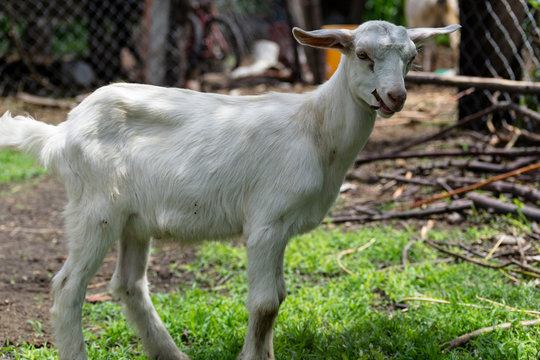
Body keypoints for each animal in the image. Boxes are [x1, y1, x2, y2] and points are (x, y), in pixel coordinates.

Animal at [0, 21, 460, 358]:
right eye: (362, 55)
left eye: (412, 58)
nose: (395, 97)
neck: (316, 129)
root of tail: (61, 132)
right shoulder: (266, 224)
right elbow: (265, 303)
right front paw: (253, 357)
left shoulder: (282, 229)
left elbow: (279, 296)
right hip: (96, 208)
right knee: (67, 287)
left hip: (133, 219)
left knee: (128, 284)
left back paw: (172, 355)